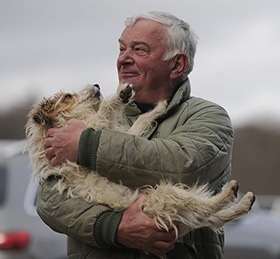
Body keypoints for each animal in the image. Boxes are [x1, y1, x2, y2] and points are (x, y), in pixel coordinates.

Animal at [25, 85, 255, 244]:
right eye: (67, 97)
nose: (97, 85)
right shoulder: (90, 130)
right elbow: (106, 110)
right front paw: (120, 95)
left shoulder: (116, 132)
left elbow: (140, 122)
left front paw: (159, 107)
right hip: (163, 196)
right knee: (203, 207)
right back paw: (229, 194)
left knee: (214, 217)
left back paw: (243, 203)